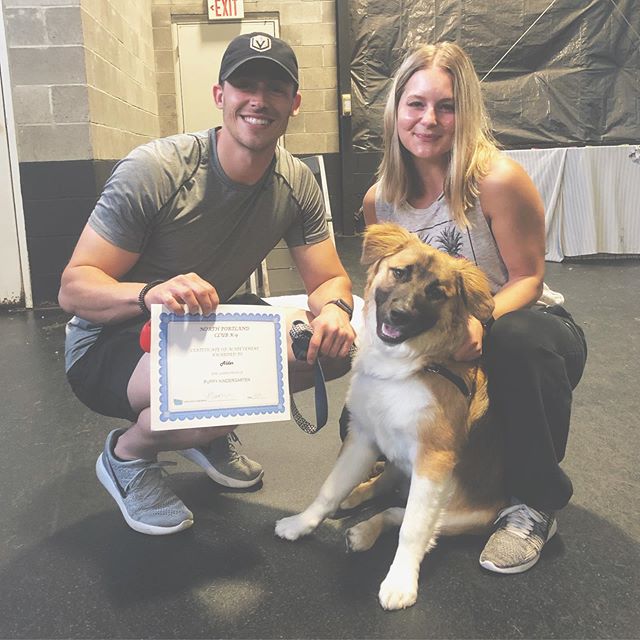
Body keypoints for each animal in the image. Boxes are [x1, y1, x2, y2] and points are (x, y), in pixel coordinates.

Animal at [278, 224, 508, 608]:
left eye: (437, 292)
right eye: (400, 273)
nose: (399, 314)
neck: (401, 367)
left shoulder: (434, 460)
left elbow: (413, 528)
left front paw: (400, 581)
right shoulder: (363, 437)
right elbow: (329, 489)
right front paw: (301, 523)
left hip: (463, 515)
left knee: (398, 514)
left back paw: (362, 530)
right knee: (385, 483)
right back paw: (357, 496)